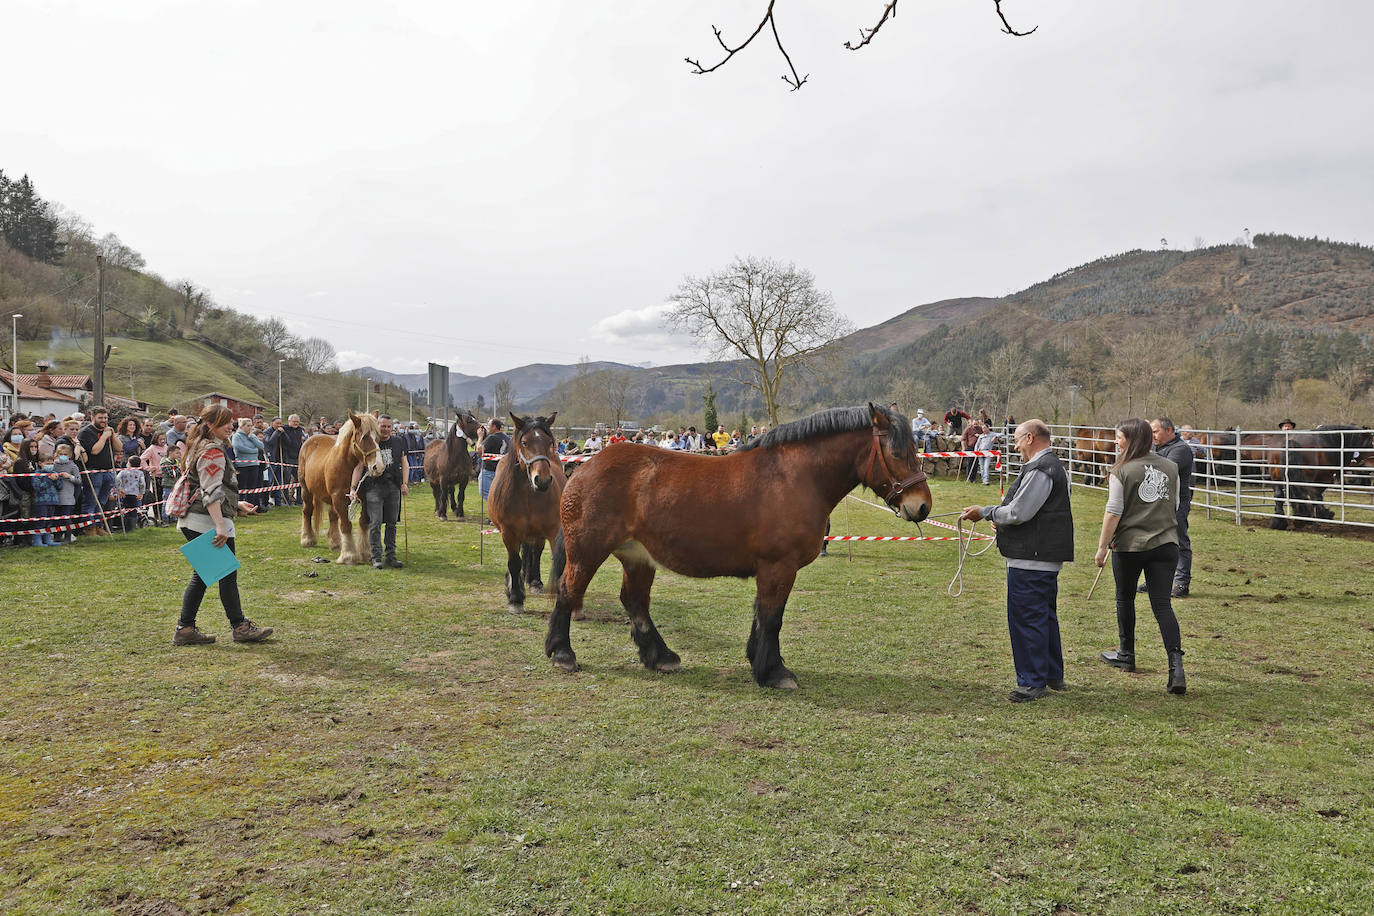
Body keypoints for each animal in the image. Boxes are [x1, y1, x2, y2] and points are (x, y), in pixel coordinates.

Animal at [299, 409, 387, 565]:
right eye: (364, 437)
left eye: (378, 437)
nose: (378, 467)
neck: (347, 465)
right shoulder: (339, 498)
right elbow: (346, 524)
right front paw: (349, 556)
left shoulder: (363, 498)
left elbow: (363, 522)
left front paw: (365, 552)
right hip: (306, 490)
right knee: (307, 511)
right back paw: (307, 539)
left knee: (332, 516)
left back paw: (335, 543)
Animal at [486, 411, 566, 612]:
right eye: (524, 442)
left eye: (550, 442)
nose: (542, 480)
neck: (527, 494)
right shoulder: (508, 532)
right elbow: (514, 562)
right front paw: (515, 598)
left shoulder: (552, 530)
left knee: (535, 552)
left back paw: (534, 581)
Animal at [546, 403, 934, 692]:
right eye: (896, 452)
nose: (922, 506)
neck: (795, 476)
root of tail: (584, 468)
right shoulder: (779, 566)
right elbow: (772, 618)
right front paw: (773, 672)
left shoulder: (772, 570)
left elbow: (762, 616)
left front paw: (762, 664)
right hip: (587, 551)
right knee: (569, 590)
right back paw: (562, 653)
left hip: (637, 555)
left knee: (635, 601)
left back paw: (660, 656)